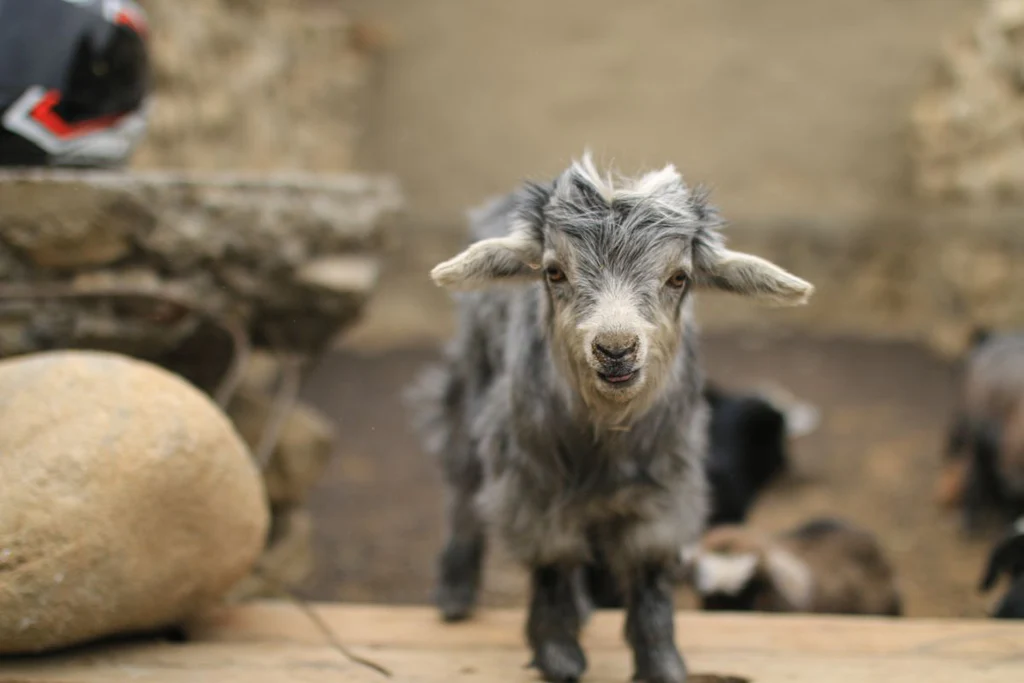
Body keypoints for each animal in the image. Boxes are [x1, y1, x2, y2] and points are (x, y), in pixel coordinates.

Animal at [407, 154, 815, 683]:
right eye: (554, 273)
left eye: (679, 277)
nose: (615, 349)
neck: (606, 434)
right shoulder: (534, 485)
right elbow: (552, 561)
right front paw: (558, 652)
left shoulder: (665, 489)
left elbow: (648, 571)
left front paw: (661, 661)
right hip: (469, 387)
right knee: (461, 484)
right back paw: (455, 592)